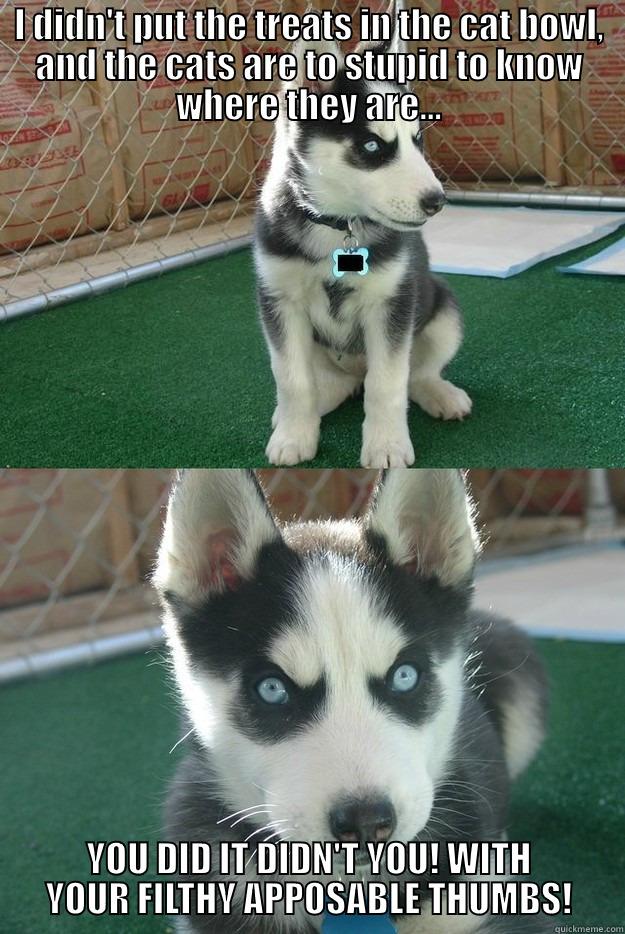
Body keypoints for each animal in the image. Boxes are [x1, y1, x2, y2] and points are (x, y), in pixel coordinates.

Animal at [255, 28, 472, 468]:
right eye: (372, 147)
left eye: (417, 139)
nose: (437, 201)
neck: (338, 225)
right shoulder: (280, 301)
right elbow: (292, 379)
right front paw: (293, 435)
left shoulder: (391, 304)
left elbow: (387, 383)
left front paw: (386, 445)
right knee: (328, 382)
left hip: (443, 310)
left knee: (415, 374)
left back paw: (440, 394)